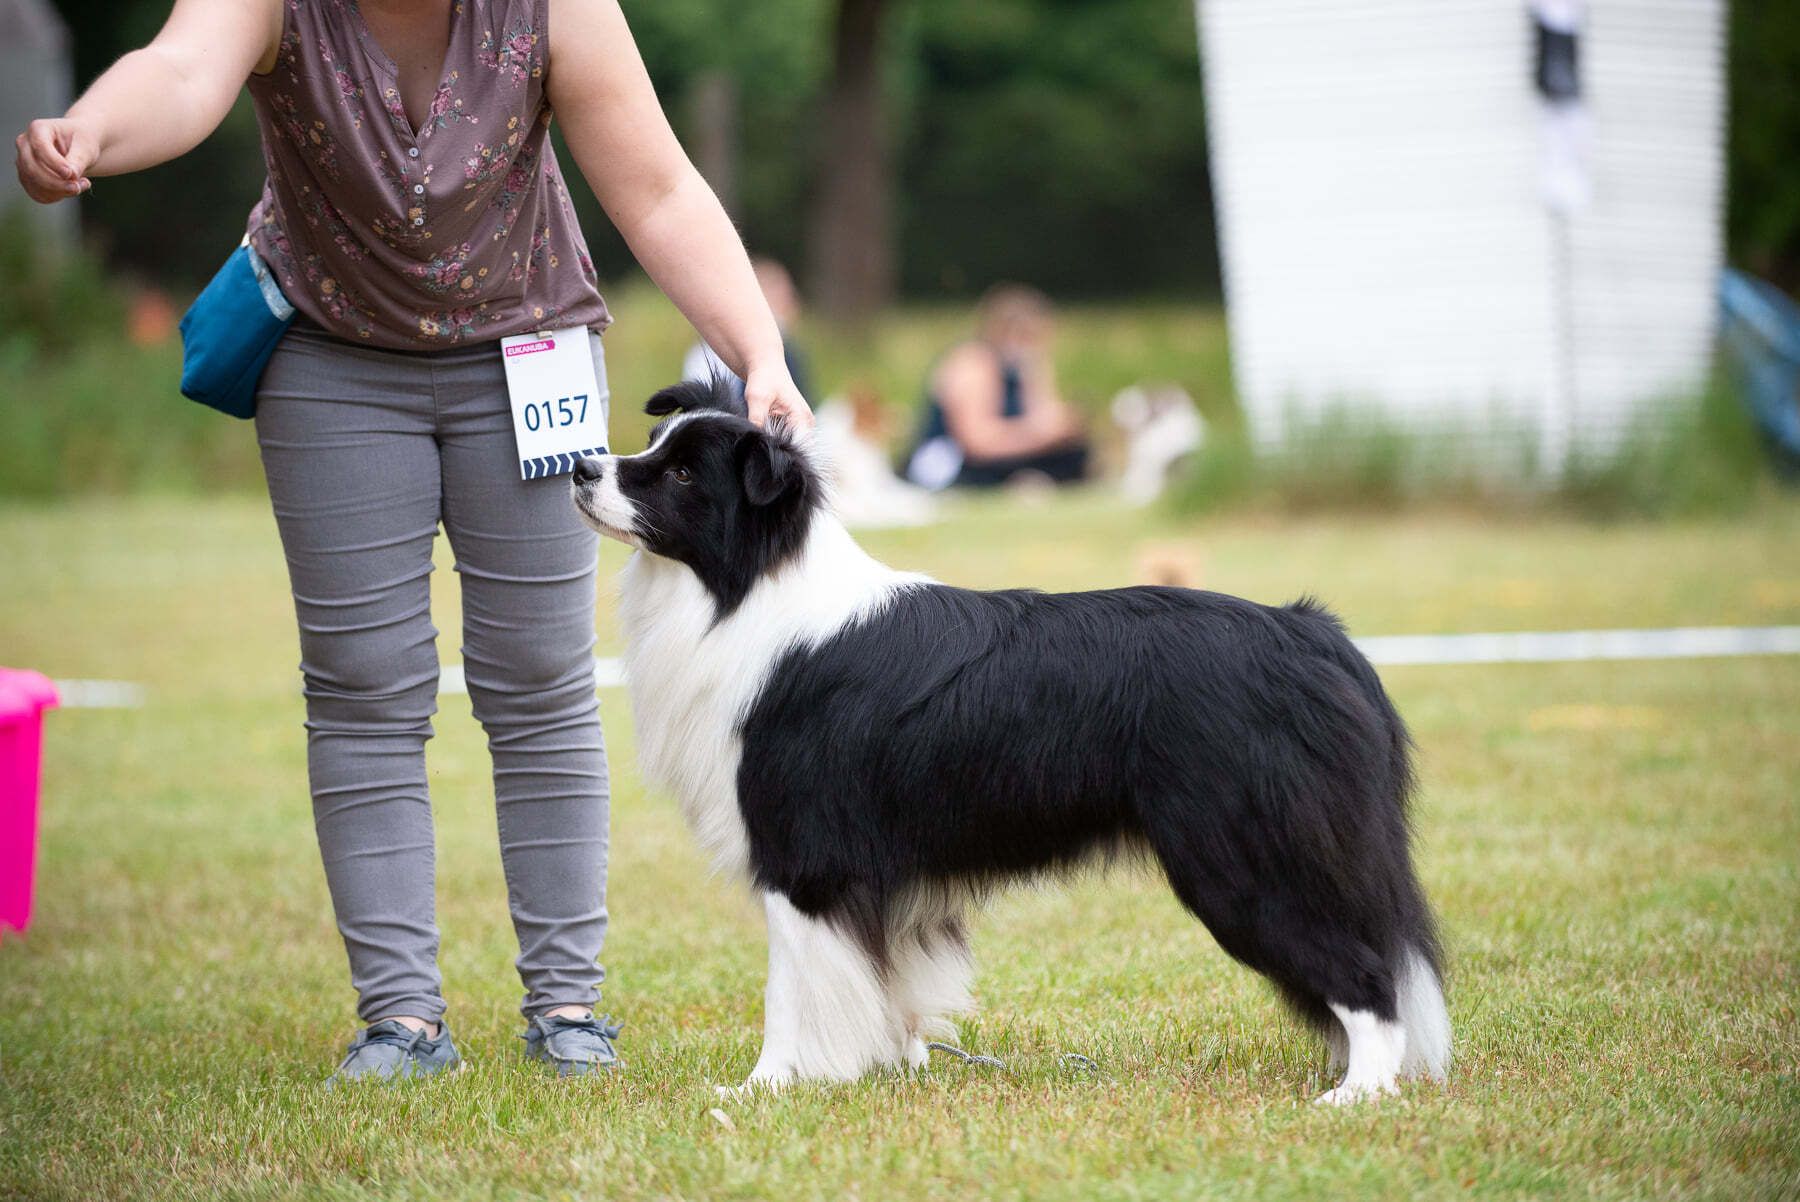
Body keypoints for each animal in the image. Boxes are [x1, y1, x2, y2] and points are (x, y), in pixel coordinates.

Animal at [570, 378, 1450, 1104]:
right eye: (653, 443)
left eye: (684, 475)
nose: (579, 466)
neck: (748, 589)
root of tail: (1310, 633)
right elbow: (886, 989)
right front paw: (894, 1066)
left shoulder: (803, 859)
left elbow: (792, 990)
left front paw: (767, 1087)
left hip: (1244, 861)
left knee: (1367, 975)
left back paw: (1359, 1093)